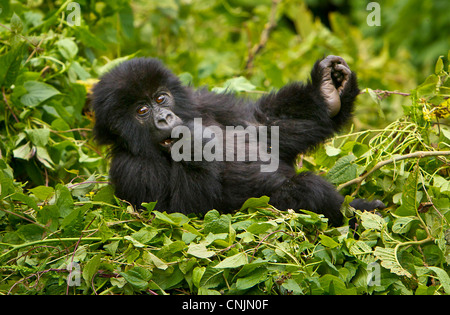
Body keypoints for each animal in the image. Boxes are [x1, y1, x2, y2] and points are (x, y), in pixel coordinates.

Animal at [93, 55, 384, 226]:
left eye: (161, 98)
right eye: (142, 111)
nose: (165, 117)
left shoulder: (203, 101)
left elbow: (262, 126)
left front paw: (326, 92)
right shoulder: (131, 170)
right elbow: (181, 218)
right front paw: (191, 145)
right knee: (306, 189)